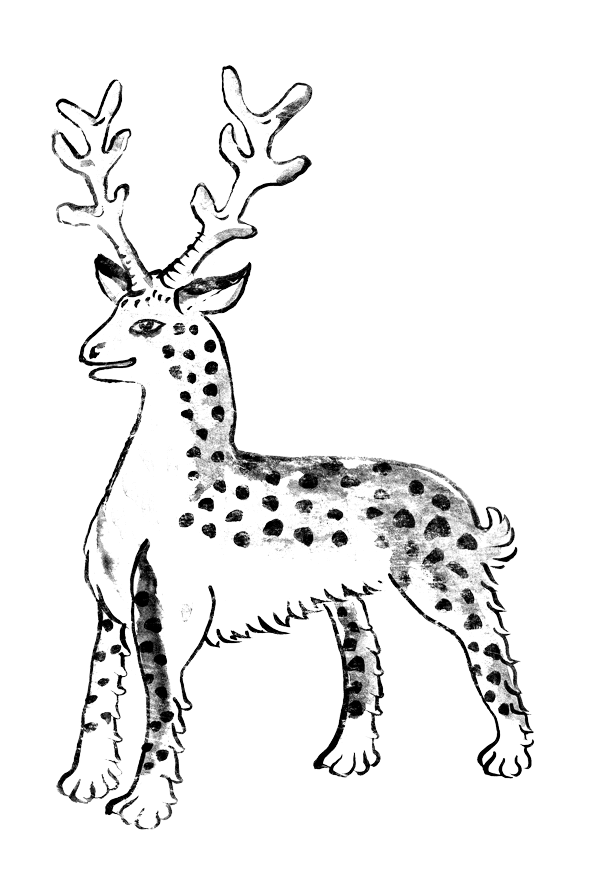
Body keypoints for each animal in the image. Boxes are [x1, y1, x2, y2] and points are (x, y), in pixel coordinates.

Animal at [52, 66, 534, 830]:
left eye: (173, 310)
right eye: (120, 302)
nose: (92, 351)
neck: (177, 482)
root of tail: (467, 508)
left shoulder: (170, 595)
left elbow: (160, 695)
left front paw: (146, 801)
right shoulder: (106, 596)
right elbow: (101, 690)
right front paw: (84, 783)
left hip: (444, 579)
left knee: (490, 641)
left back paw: (509, 756)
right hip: (346, 594)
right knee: (364, 657)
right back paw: (345, 758)